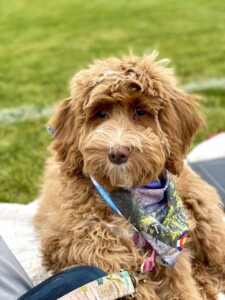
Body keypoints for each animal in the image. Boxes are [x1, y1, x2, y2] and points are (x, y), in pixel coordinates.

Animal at [33, 52, 225, 298]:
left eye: (140, 111)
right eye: (100, 113)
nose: (117, 152)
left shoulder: (173, 252)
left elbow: (180, 285)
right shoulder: (71, 239)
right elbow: (105, 254)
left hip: (203, 212)